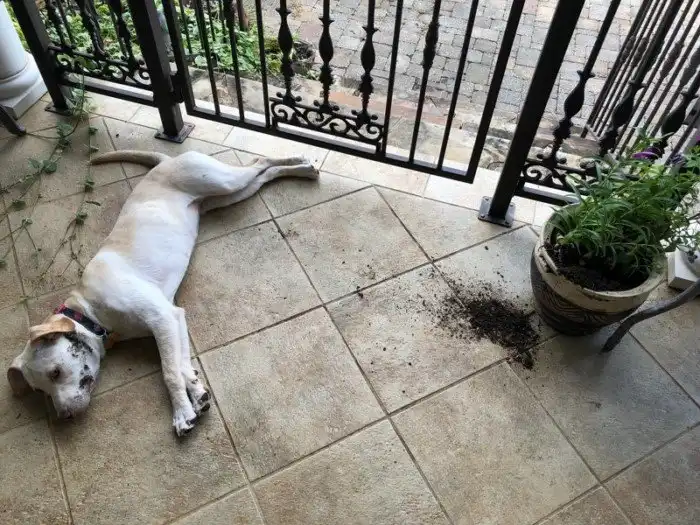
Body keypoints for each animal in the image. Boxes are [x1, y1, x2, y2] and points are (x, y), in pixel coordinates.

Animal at [7, 151, 317, 436]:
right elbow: (180, 365)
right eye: (40, 390)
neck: (89, 309)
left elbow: (169, 372)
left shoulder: (161, 318)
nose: (64, 417)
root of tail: (167, 160)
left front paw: (181, 413)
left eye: (55, 373)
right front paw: (196, 393)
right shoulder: (173, 318)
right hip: (224, 197)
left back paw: (303, 164)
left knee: (258, 162)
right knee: (263, 175)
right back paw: (300, 170)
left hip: (222, 181)